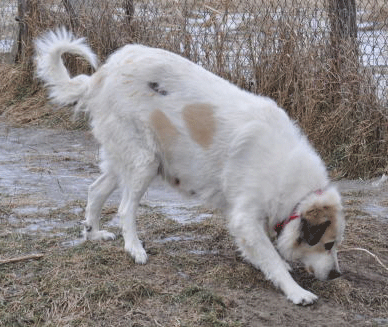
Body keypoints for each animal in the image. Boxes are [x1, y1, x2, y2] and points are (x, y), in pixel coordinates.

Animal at [34, 28, 344, 308]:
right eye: (328, 244)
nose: (336, 275)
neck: (293, 186)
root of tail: (103, 74)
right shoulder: (245, 218)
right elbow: (272, 259)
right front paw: (296, 291)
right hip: (145, 162)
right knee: (124, 209)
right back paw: (134, 249)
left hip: (122, 159)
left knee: (95, 191)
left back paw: (94, 233)